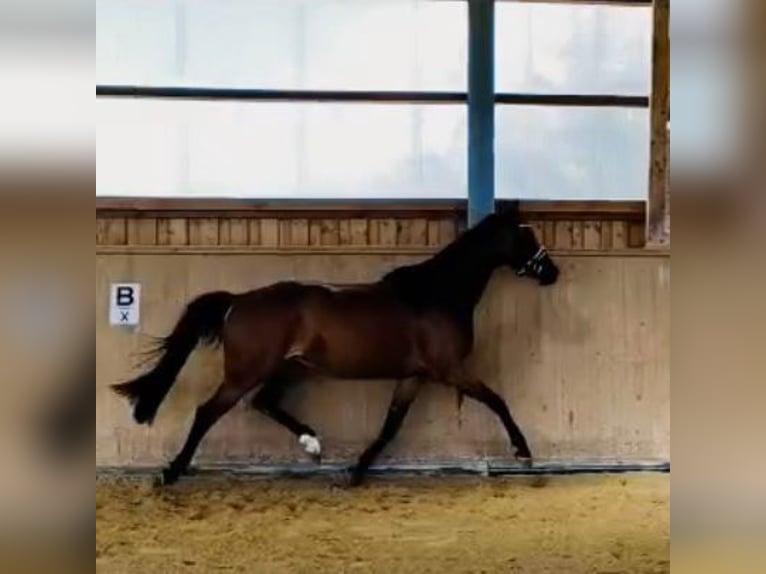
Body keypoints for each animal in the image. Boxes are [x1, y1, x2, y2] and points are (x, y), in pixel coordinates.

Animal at [112, 202, 560, 487]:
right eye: (526, 235)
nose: (552, 271)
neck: (438, 294)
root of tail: (237, 302)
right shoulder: (450, 370)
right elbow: (498, 400)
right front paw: (523, 452)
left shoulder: (413, 376)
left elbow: (391, 426)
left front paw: (356, 472)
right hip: (247, 371)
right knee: (209, 411)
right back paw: (171, 472)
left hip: (289, 368)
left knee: (264, 403)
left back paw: (312, 442)